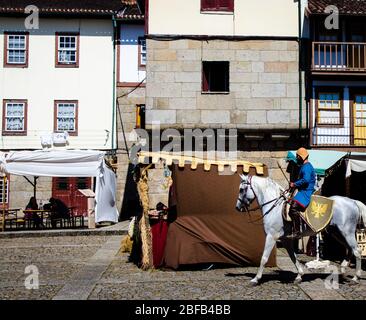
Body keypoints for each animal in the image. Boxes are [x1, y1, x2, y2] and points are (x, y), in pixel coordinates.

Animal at [236, 174, 364, 286]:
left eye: (241, 190)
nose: (237, 207)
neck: (275, 207)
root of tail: (353, 201)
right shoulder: (285, 240)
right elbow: (293, 257)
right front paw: (299, 276)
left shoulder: (271, 236)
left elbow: (264, 258)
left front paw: (255, 279)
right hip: (337, 233)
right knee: (349, 249)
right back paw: (342, 270)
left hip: (347, 232)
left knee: (357, 251)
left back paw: (355, 277)